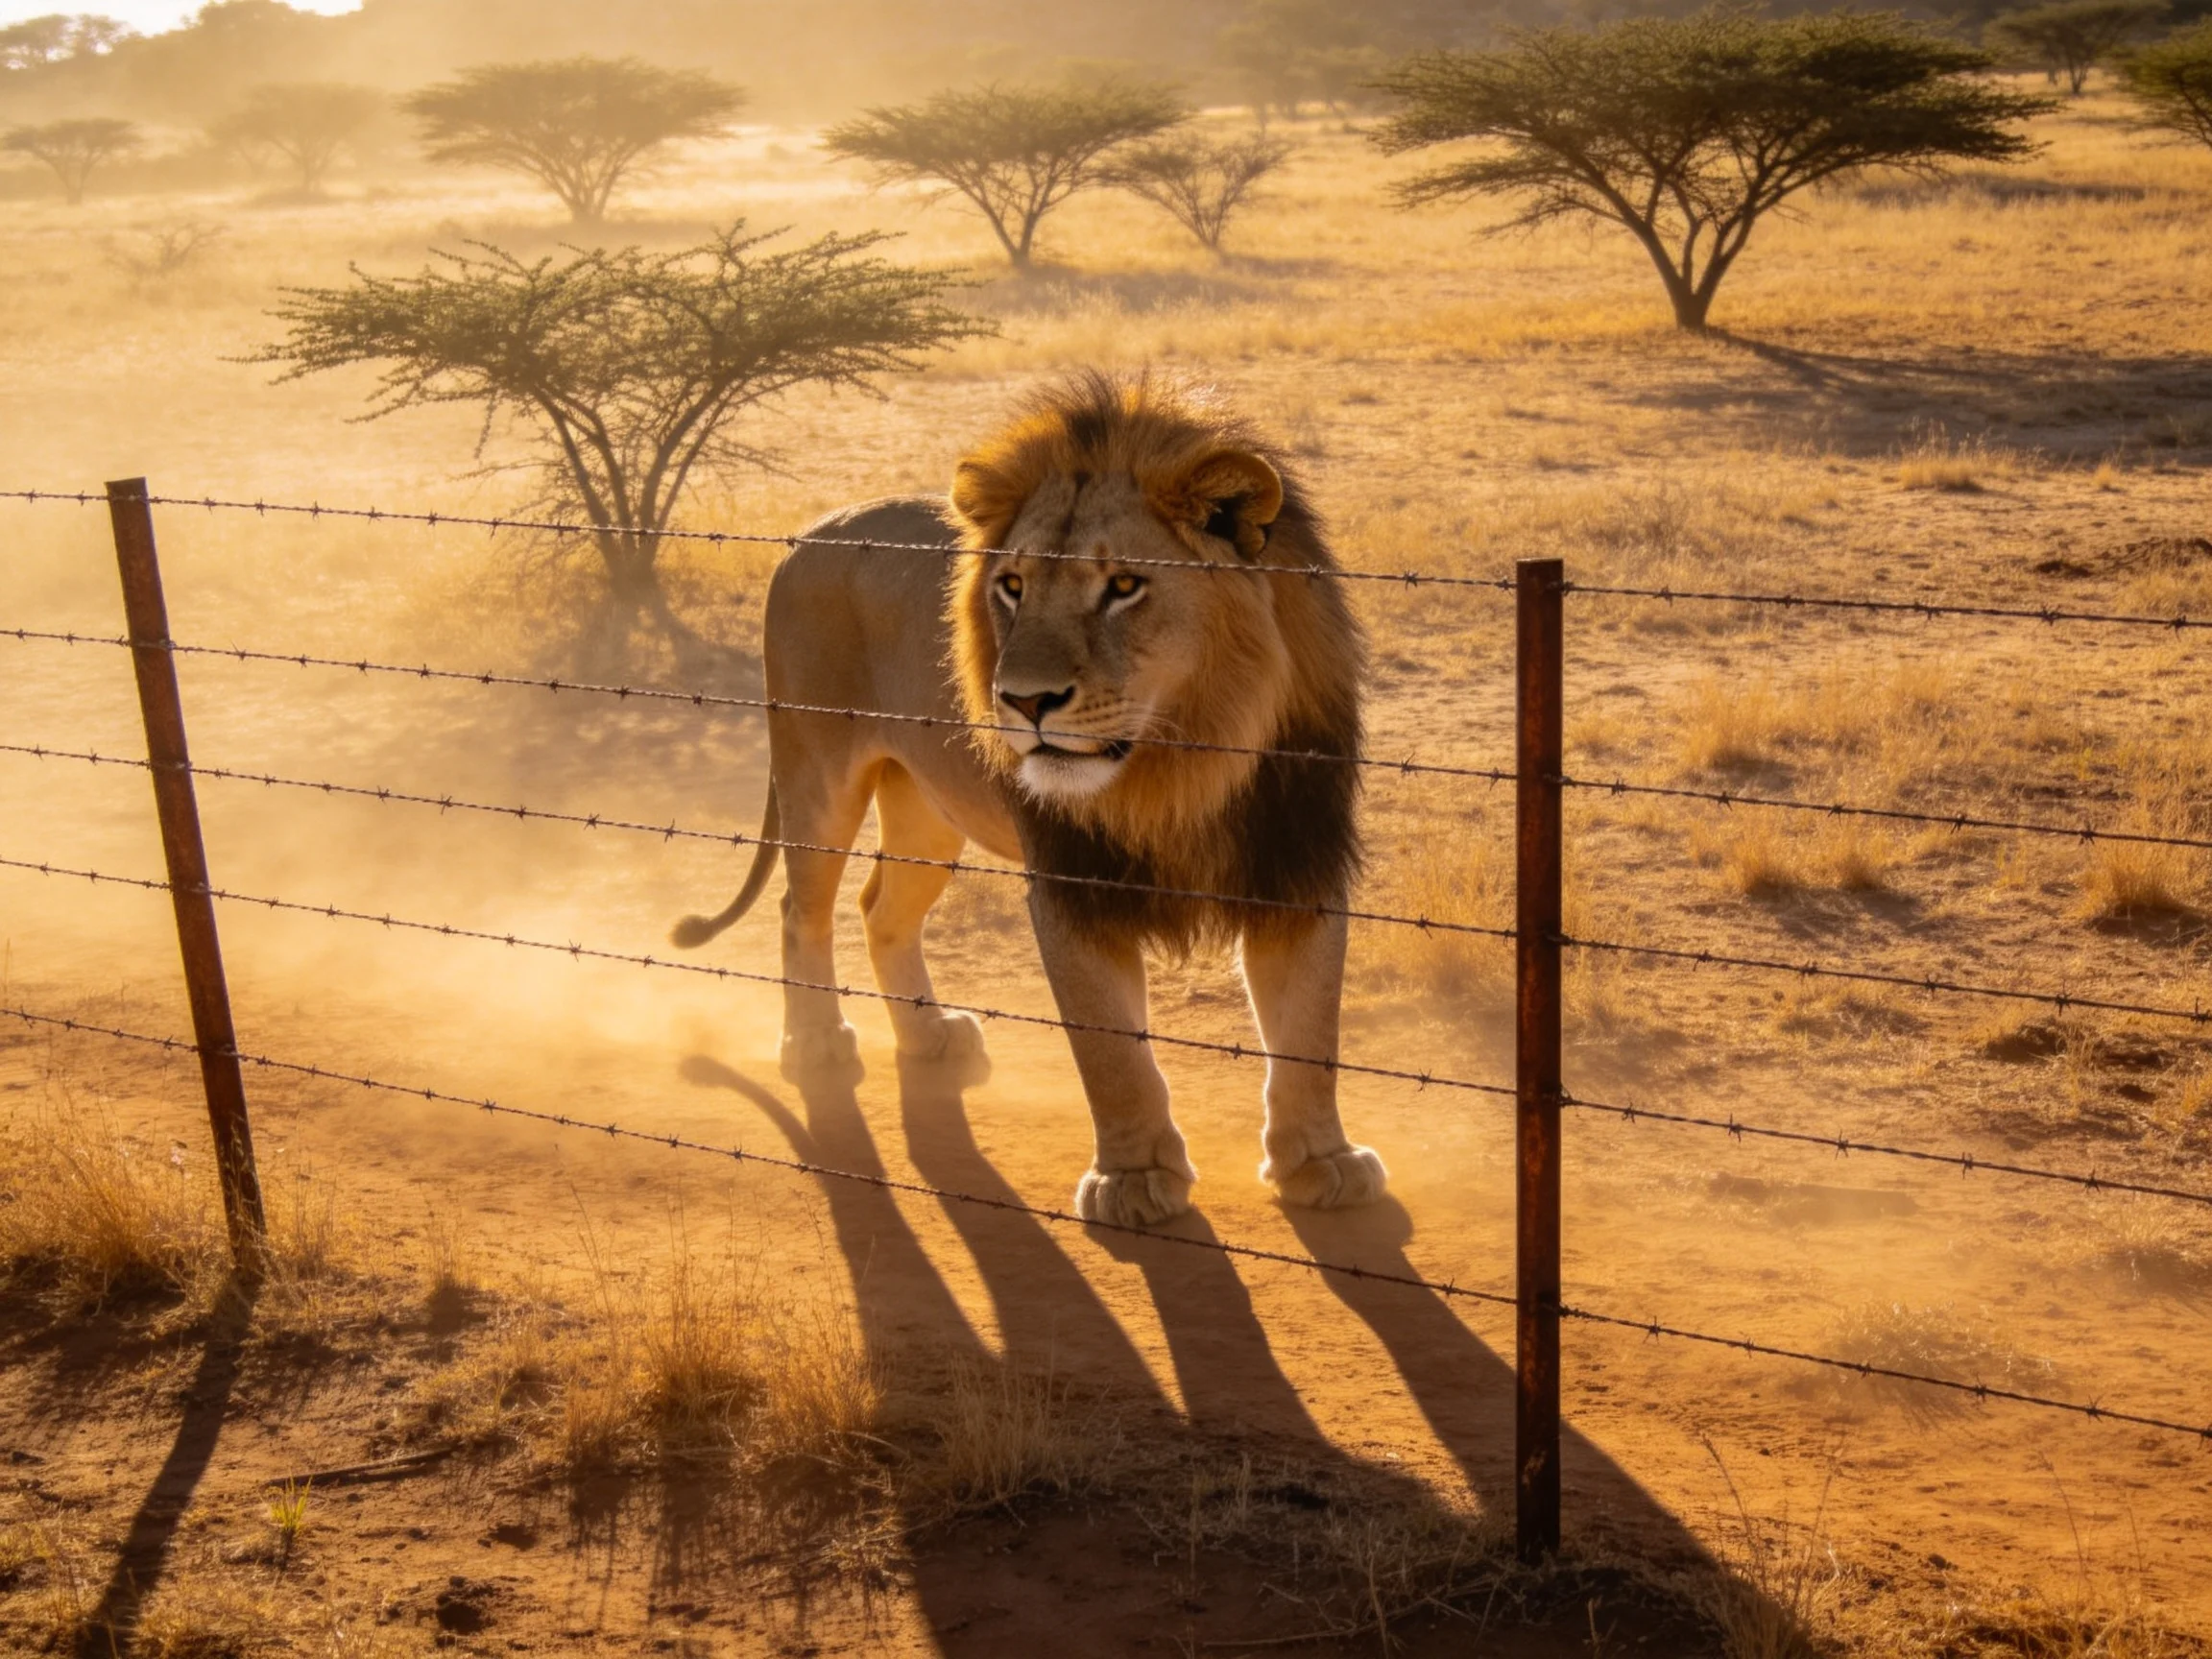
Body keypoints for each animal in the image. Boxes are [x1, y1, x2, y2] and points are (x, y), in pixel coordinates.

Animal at [672, 372, 1386, 1227]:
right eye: (1011, 587)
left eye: (1123, 586)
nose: (1020, 700)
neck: (1185, 762)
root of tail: (810, 534)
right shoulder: (1072, 880)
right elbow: (1109, 1048)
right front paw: (1134, 1180)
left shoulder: (1296, 857)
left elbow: (1309, 1027)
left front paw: (1322, 1162)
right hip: (818, 774)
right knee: (800, 906)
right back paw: (815, 1043)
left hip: (928, 807)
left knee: (881, 907)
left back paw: (929, 1036)